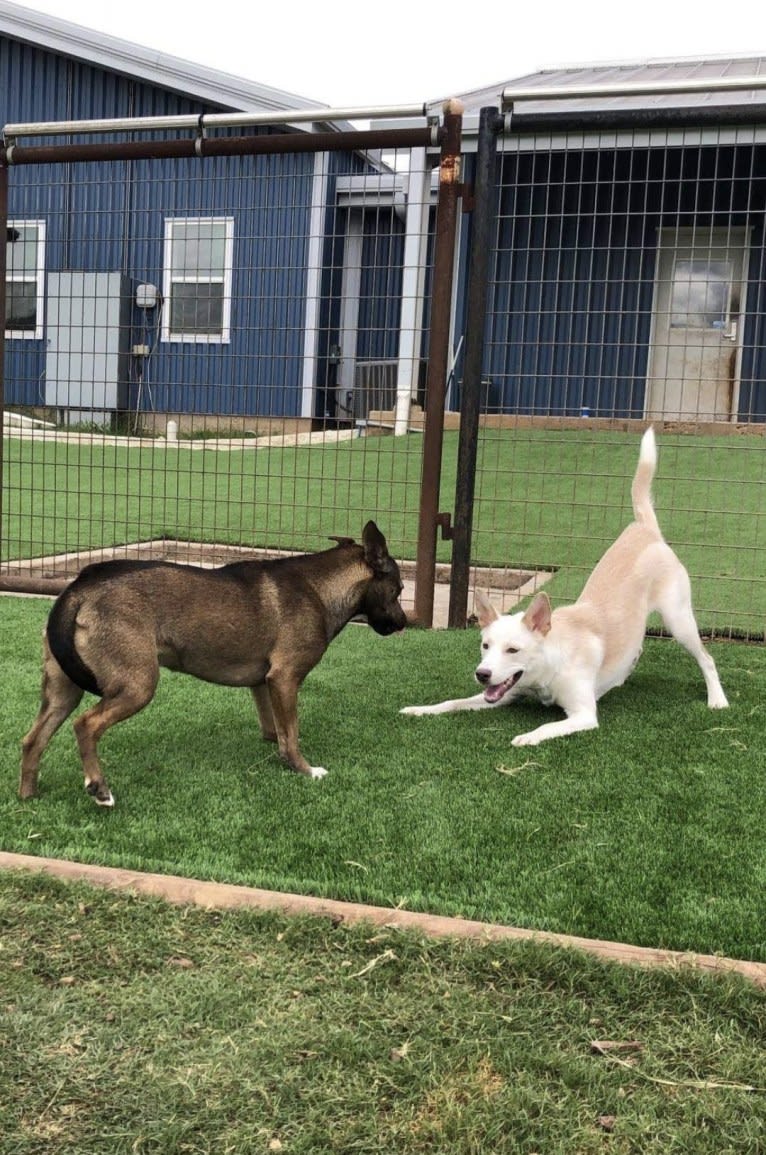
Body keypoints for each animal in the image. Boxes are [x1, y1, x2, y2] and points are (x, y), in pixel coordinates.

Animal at [20, 522, 406, 803]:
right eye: (400, 589)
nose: (404, 622)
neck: (319, 587)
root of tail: (80, 587)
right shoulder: (285, 679)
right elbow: (292, 733)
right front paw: (305, 770)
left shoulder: (265, 684)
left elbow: (276, 731)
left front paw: (279, 752)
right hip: (137, 686)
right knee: (86, 725)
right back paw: (99, 788)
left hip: (62, 692)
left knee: (32, 739)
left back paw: (28, 796)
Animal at [402, 427, 730, 748]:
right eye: (485, 646)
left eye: (513, 649)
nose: (482, 674)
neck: (552, 661)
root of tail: (646, 529)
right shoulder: (502, 693)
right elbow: (452, 703)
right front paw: (420, 709)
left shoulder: (583, 715)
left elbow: (547, 725)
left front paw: (527, 737)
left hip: (679, 620)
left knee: (707, 658)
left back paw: (717, 699)